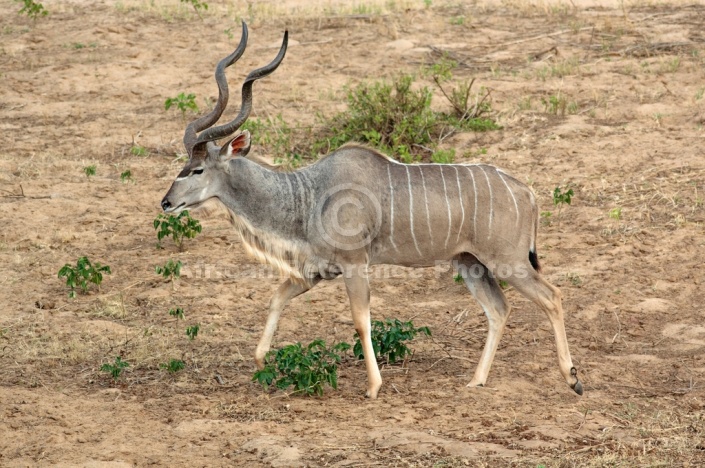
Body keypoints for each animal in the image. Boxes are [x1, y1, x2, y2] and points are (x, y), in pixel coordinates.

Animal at [161, 22, 584, 398]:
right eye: (184, 166)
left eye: (197, 169)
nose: (166, 203)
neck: (308, 194)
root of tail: (527, 192)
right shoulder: (316, 270)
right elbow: (277, 297)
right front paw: (262, 360)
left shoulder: (354, 265)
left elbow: (361, 320)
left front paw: (374, 386)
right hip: (469, 263)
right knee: (498, 309)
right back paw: (476, 381)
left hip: (507, 261)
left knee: (552, 296)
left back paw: (573, 378)